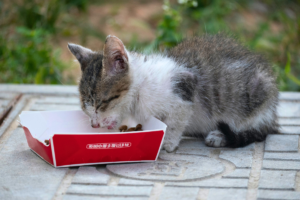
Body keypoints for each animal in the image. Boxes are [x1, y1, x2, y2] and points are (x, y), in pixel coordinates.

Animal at [68, 34, 278, 152]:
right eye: (86, 108)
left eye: (100, 104)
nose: (94, 124)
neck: (140, 90)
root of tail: (272, 114)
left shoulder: (185, 87)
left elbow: (175, 122)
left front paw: (166, 142)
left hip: (253, 96)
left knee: (251, 130)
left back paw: (219, 136)